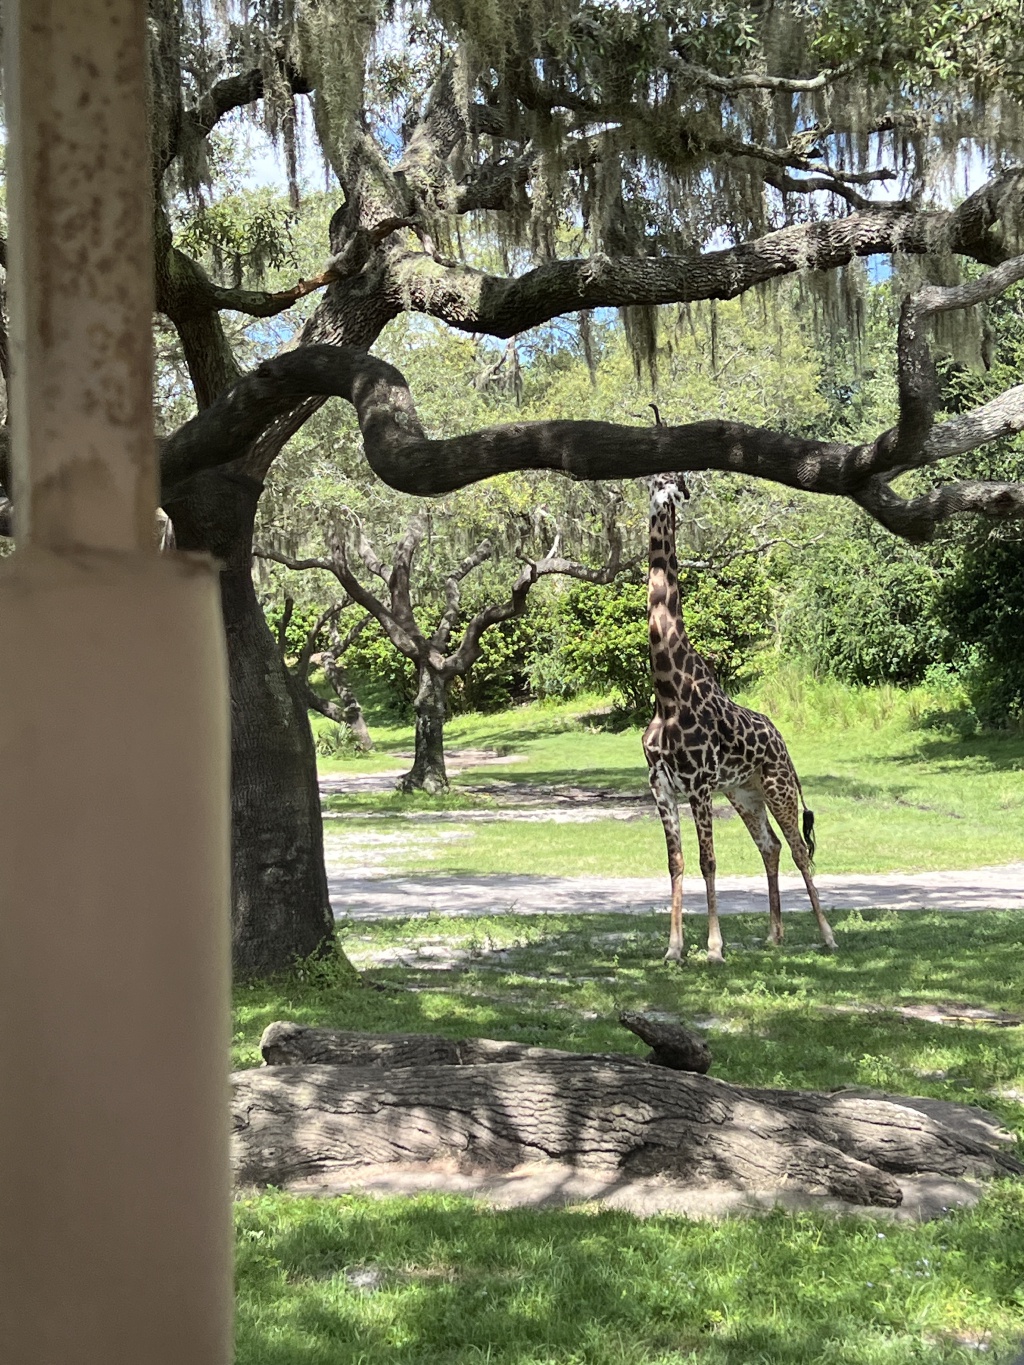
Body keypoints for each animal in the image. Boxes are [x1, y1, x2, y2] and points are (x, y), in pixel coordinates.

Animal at [642, 467, 837, 964]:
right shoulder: (662, 789)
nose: (660, 505)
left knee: (799, 849)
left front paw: (713, 948)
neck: (667, 694)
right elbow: (676, 862)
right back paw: (774, 935)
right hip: (745, 793)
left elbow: (709, 861)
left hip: (778, 785)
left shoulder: (698, 786)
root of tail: (782, 739)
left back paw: (827, 934)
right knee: (771, 847)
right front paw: (673, 950)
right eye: (652, 484)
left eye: (674, 486)